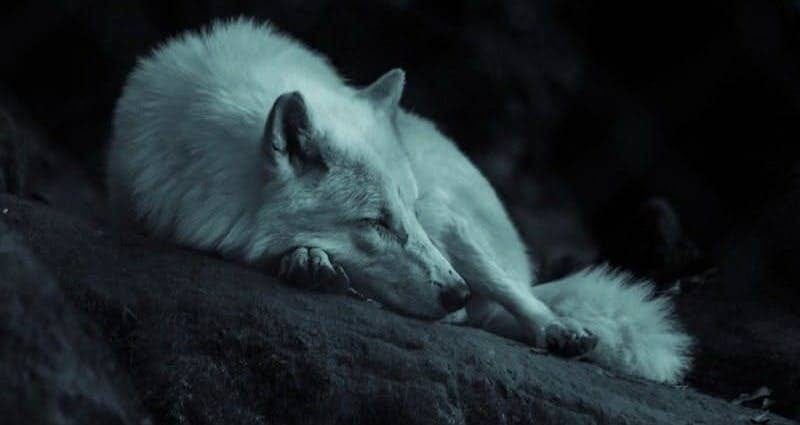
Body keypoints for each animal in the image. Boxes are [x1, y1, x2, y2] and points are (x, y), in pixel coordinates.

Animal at [107, 18, 692, 383]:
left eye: (404, 214)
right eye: (377, 223)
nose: (454, 292)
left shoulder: (430, 216)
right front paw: (308, 260)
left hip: (454, 221)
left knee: (517, 295)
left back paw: (558, 329)